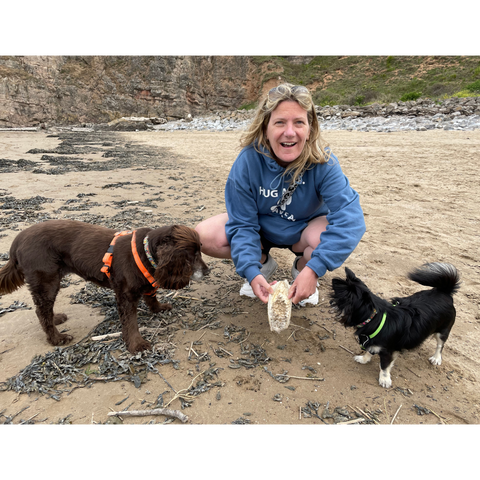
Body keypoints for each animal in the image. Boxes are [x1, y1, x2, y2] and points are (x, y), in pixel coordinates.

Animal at [0, 220, 210, 352]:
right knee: (41, 311)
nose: (208, 271)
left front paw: (159, 308)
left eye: (200, 250)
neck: (145, 251)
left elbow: (151, 295)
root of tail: (17, 240)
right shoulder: (125, 295)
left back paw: (56, 318)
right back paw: (57, 338)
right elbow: (131, 322)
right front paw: (137, 345)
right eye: (193, 255)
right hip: (47, 280)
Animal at [332, 264, 460, 388]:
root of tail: (444, 292)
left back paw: (436, 358)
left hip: (443, 331)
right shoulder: (372, 342)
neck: (374, 318)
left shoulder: (388, 352)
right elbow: (369, 351)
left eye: (342, 294)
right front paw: (364, 359)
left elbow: (384, 366)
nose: (334, 280)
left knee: (440, 345)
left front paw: (384, 379)